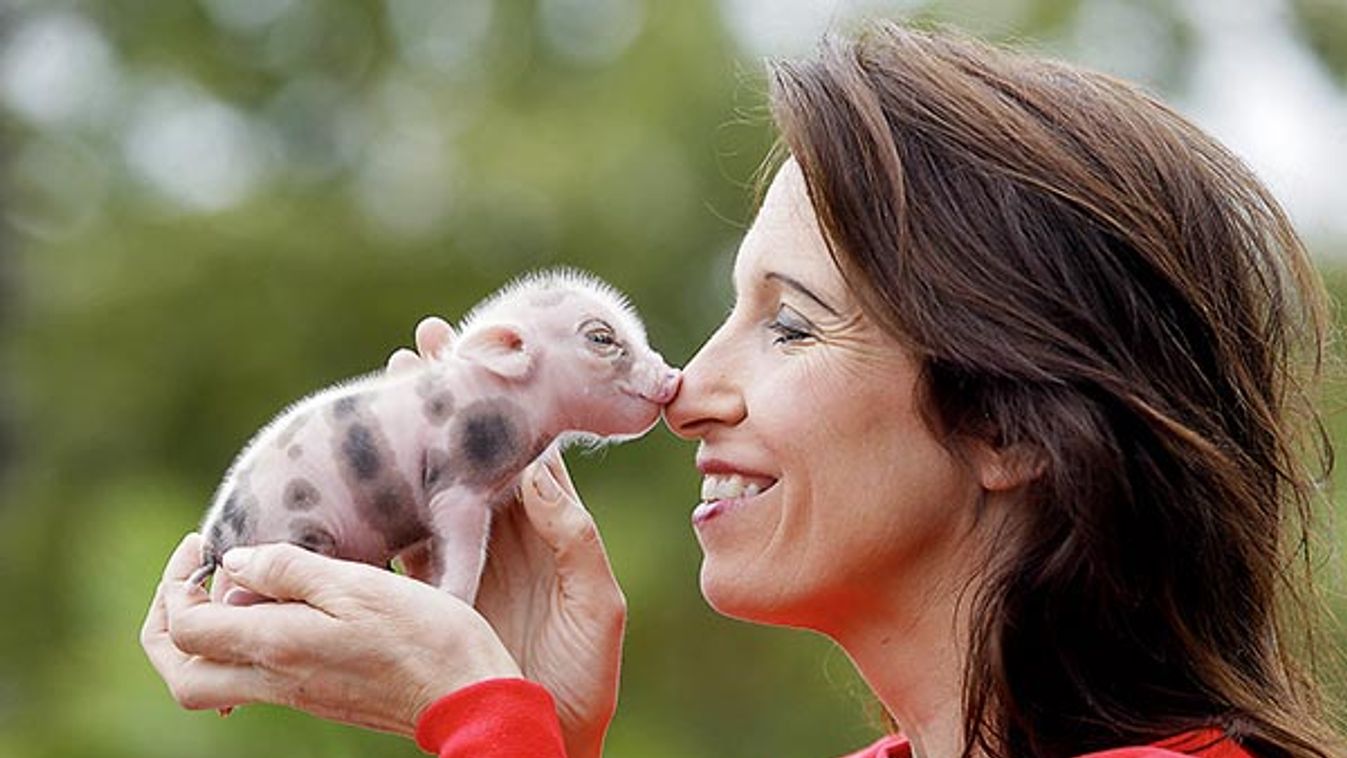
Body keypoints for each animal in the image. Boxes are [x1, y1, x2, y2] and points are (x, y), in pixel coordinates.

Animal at [191, 269, 678, 603]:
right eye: (601, 338)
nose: (673, 376)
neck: (512, 404)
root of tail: (215, 539)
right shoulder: (455, 486)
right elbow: (464, 550)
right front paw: (453, 600)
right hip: (295, 533)